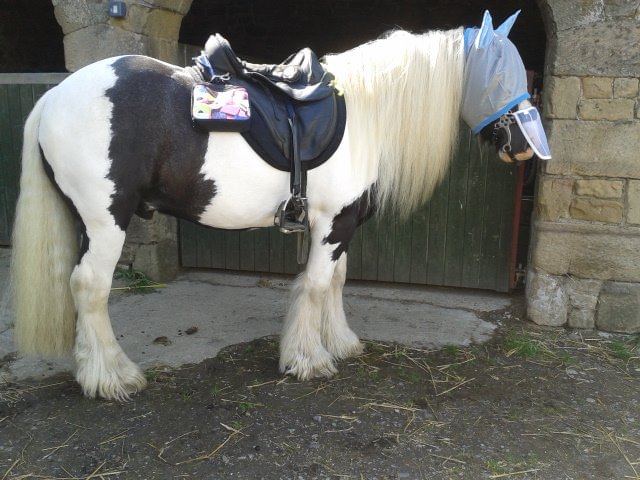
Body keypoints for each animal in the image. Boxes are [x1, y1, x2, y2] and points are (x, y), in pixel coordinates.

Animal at [10, 11, 547, 400]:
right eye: (501, 73)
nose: (524, 147)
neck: (366, 113)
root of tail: (56, 94)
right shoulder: (333, 223)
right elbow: (315, 285)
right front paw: (308, 361)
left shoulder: (339, 225)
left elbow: (336, 281)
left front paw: (340, 343)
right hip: (106, 220)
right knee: (90, 287)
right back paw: (113, 378)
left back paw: (90, 371)